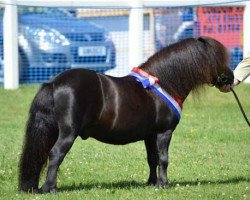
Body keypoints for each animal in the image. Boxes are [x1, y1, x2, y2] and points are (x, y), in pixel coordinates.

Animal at [18, 36, 233, 193]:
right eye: (218, 58)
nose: (231, 79)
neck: (164, 83)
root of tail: (54, 82)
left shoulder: (150, 135)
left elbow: (153, 158)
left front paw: (151, 183)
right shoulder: (164, 132)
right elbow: (164, 158)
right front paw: (164, 185)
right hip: (68, 133)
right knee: (55, 154)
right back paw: (50, 189)